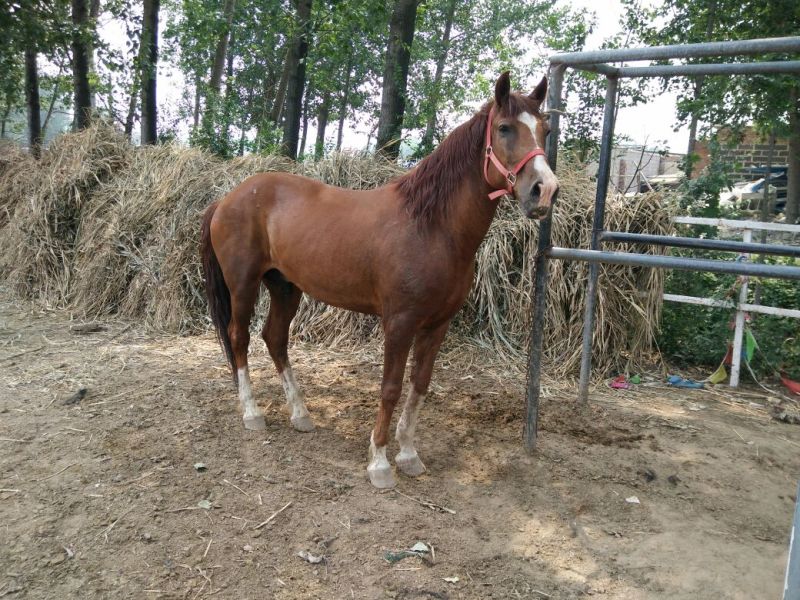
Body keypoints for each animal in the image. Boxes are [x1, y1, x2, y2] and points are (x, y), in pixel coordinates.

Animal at [200, 72, 559, 489]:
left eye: (545, 130)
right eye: (504, 128)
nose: (544, 190)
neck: (431, 227)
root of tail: (227, 198)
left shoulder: (437, 325)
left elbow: (420, 385)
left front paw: (408, 454)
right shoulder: (400, 323)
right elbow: (390, 388)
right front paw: (380, 463)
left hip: (285, 287)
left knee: (274, 338)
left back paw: (301, 414)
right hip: (243, 285)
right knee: (238, 338)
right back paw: (252, 413)